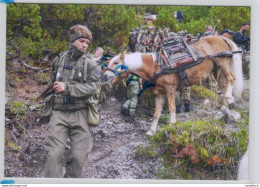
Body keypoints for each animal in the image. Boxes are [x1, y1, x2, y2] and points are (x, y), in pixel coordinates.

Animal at [102, 35, 244, 136]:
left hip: (222, 63)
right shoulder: (159, 93)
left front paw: (172, 124)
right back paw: (226, 105)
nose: (105, 77)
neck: (156, 66)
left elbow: (171, 107)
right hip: (216, 70)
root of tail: (222, 37)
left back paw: (230, 99)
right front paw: (151, 131)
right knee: (224, 86)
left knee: (231, 79)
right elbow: (156, 113)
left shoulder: (170, 89)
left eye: (116, 63)